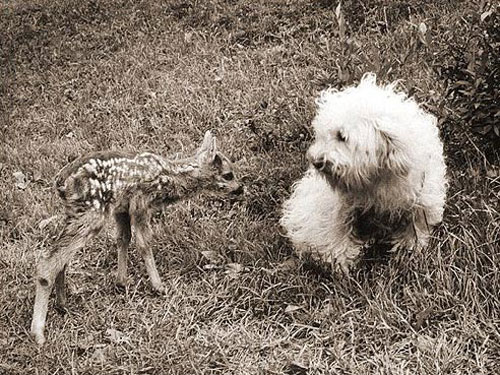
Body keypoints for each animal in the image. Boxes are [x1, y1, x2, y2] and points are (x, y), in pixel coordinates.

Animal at [280, 74, 448, 274]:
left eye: (342, 137)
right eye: (322, 134)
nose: (316, 161)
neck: (375, 175)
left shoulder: (421, 196)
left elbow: (415, 225)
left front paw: (408, 250)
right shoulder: (339, 207)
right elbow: (339, 232)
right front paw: (341, 262)